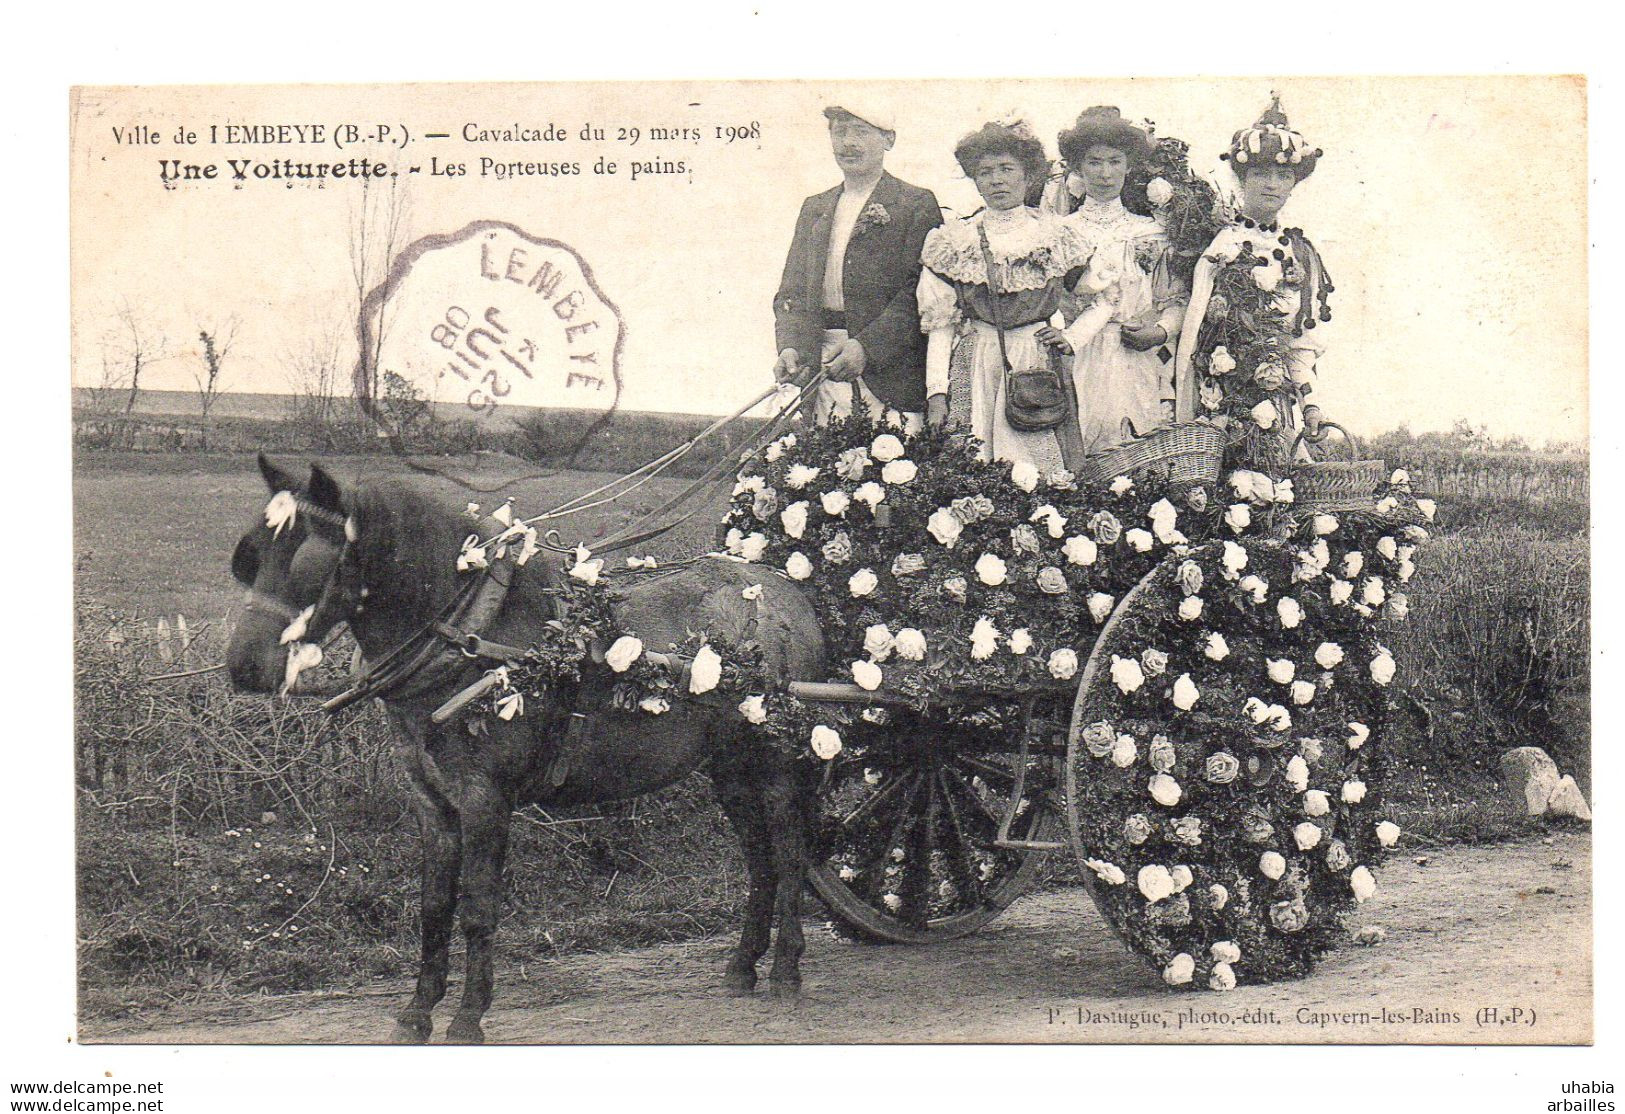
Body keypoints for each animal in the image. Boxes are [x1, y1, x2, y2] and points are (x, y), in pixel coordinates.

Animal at [225, 454, 825, 1045]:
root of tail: (786, 592)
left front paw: (468, 1015)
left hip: (775, 766)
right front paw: (419, 1010)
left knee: (790, 853)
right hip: (731, 770)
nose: (243, 667)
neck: (469, 637)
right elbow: (433, 906)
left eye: (308, 562)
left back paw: (786, 969)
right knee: (760, 861)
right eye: (249, 556)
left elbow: (477, 908)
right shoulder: (431, 799)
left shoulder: (485, 798)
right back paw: (743, 965)